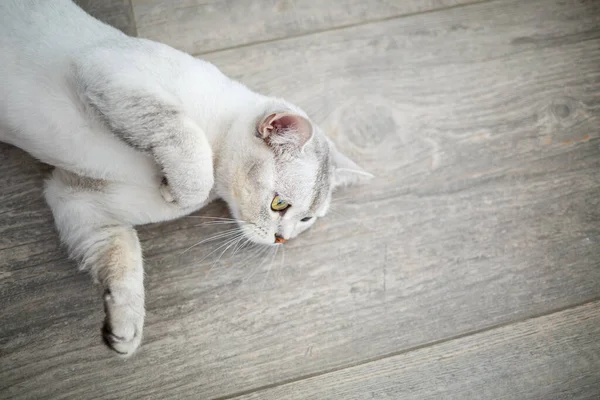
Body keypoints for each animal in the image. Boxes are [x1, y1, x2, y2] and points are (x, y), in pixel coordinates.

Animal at [0, 0, 370, 356]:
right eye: (279, 204)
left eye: (306, 220)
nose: (283, 240)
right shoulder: (107, 69)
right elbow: (191, 147)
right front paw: (179, 190)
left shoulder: (73, 196)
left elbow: (122, 254)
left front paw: (124, 326)